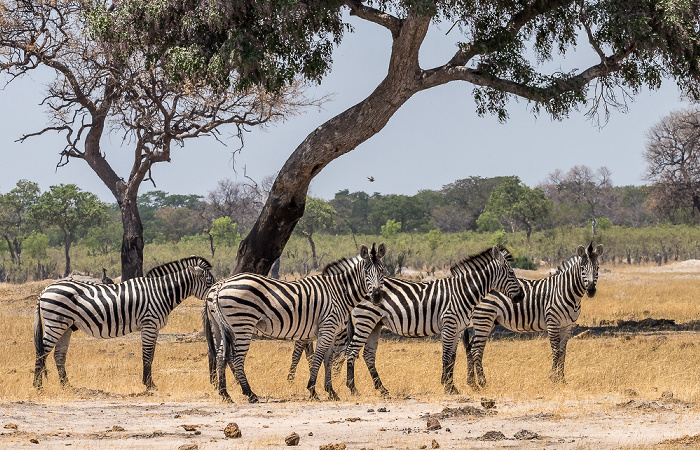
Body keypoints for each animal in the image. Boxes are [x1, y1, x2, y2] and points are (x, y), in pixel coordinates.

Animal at [34, 256, 215, 390]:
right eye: (208, 283)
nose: (214, 295)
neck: (160, 293)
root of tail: (46, 289)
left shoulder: (155, 328)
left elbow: (152, 355)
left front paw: (149, 382)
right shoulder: (149, 324)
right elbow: (147, 355)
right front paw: (149, 385)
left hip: (65, 326)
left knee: (58, 355)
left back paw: (67, 386)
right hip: (55, 324)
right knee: (42, 351)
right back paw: (37, 386)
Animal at [205, 244, 386, 402]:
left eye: (383, 271)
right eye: (366, 271)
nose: (377, 297)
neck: (338, 292)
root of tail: (220, 285)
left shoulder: (331, 332)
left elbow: (327, 359)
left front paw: (331, 391)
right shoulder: (327, 328)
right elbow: (318, 357)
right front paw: (312, 390)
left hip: (222, 327)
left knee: (221, 355)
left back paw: (225, 394)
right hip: (243, 324)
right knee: (236, 357)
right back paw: (249, 393)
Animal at [348, 246, 524, 398]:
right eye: (511, 273)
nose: (521, 296)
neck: (462, 292)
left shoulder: (458, 329)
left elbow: (452, 358)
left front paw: (452, 386)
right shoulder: (449, 325)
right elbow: (445, 357)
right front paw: (447, 387)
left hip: (375, 324)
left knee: (368, 355)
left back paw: (382, 389)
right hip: (365, 320)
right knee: (352, 351)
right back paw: (353, 389)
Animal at [464, 244, 600, 388]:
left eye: (597, 268)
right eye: (582, 268)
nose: (591, 290)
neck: (565, 291)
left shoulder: (568, 325)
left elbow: (563, 352)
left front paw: (562, 380)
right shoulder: (552, 323)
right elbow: (556, 351)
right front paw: (554, 379)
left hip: (486, 321)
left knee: (471, 347)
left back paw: (471, 382)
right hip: (484, 317)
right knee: (476, 349)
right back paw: (482, 382)